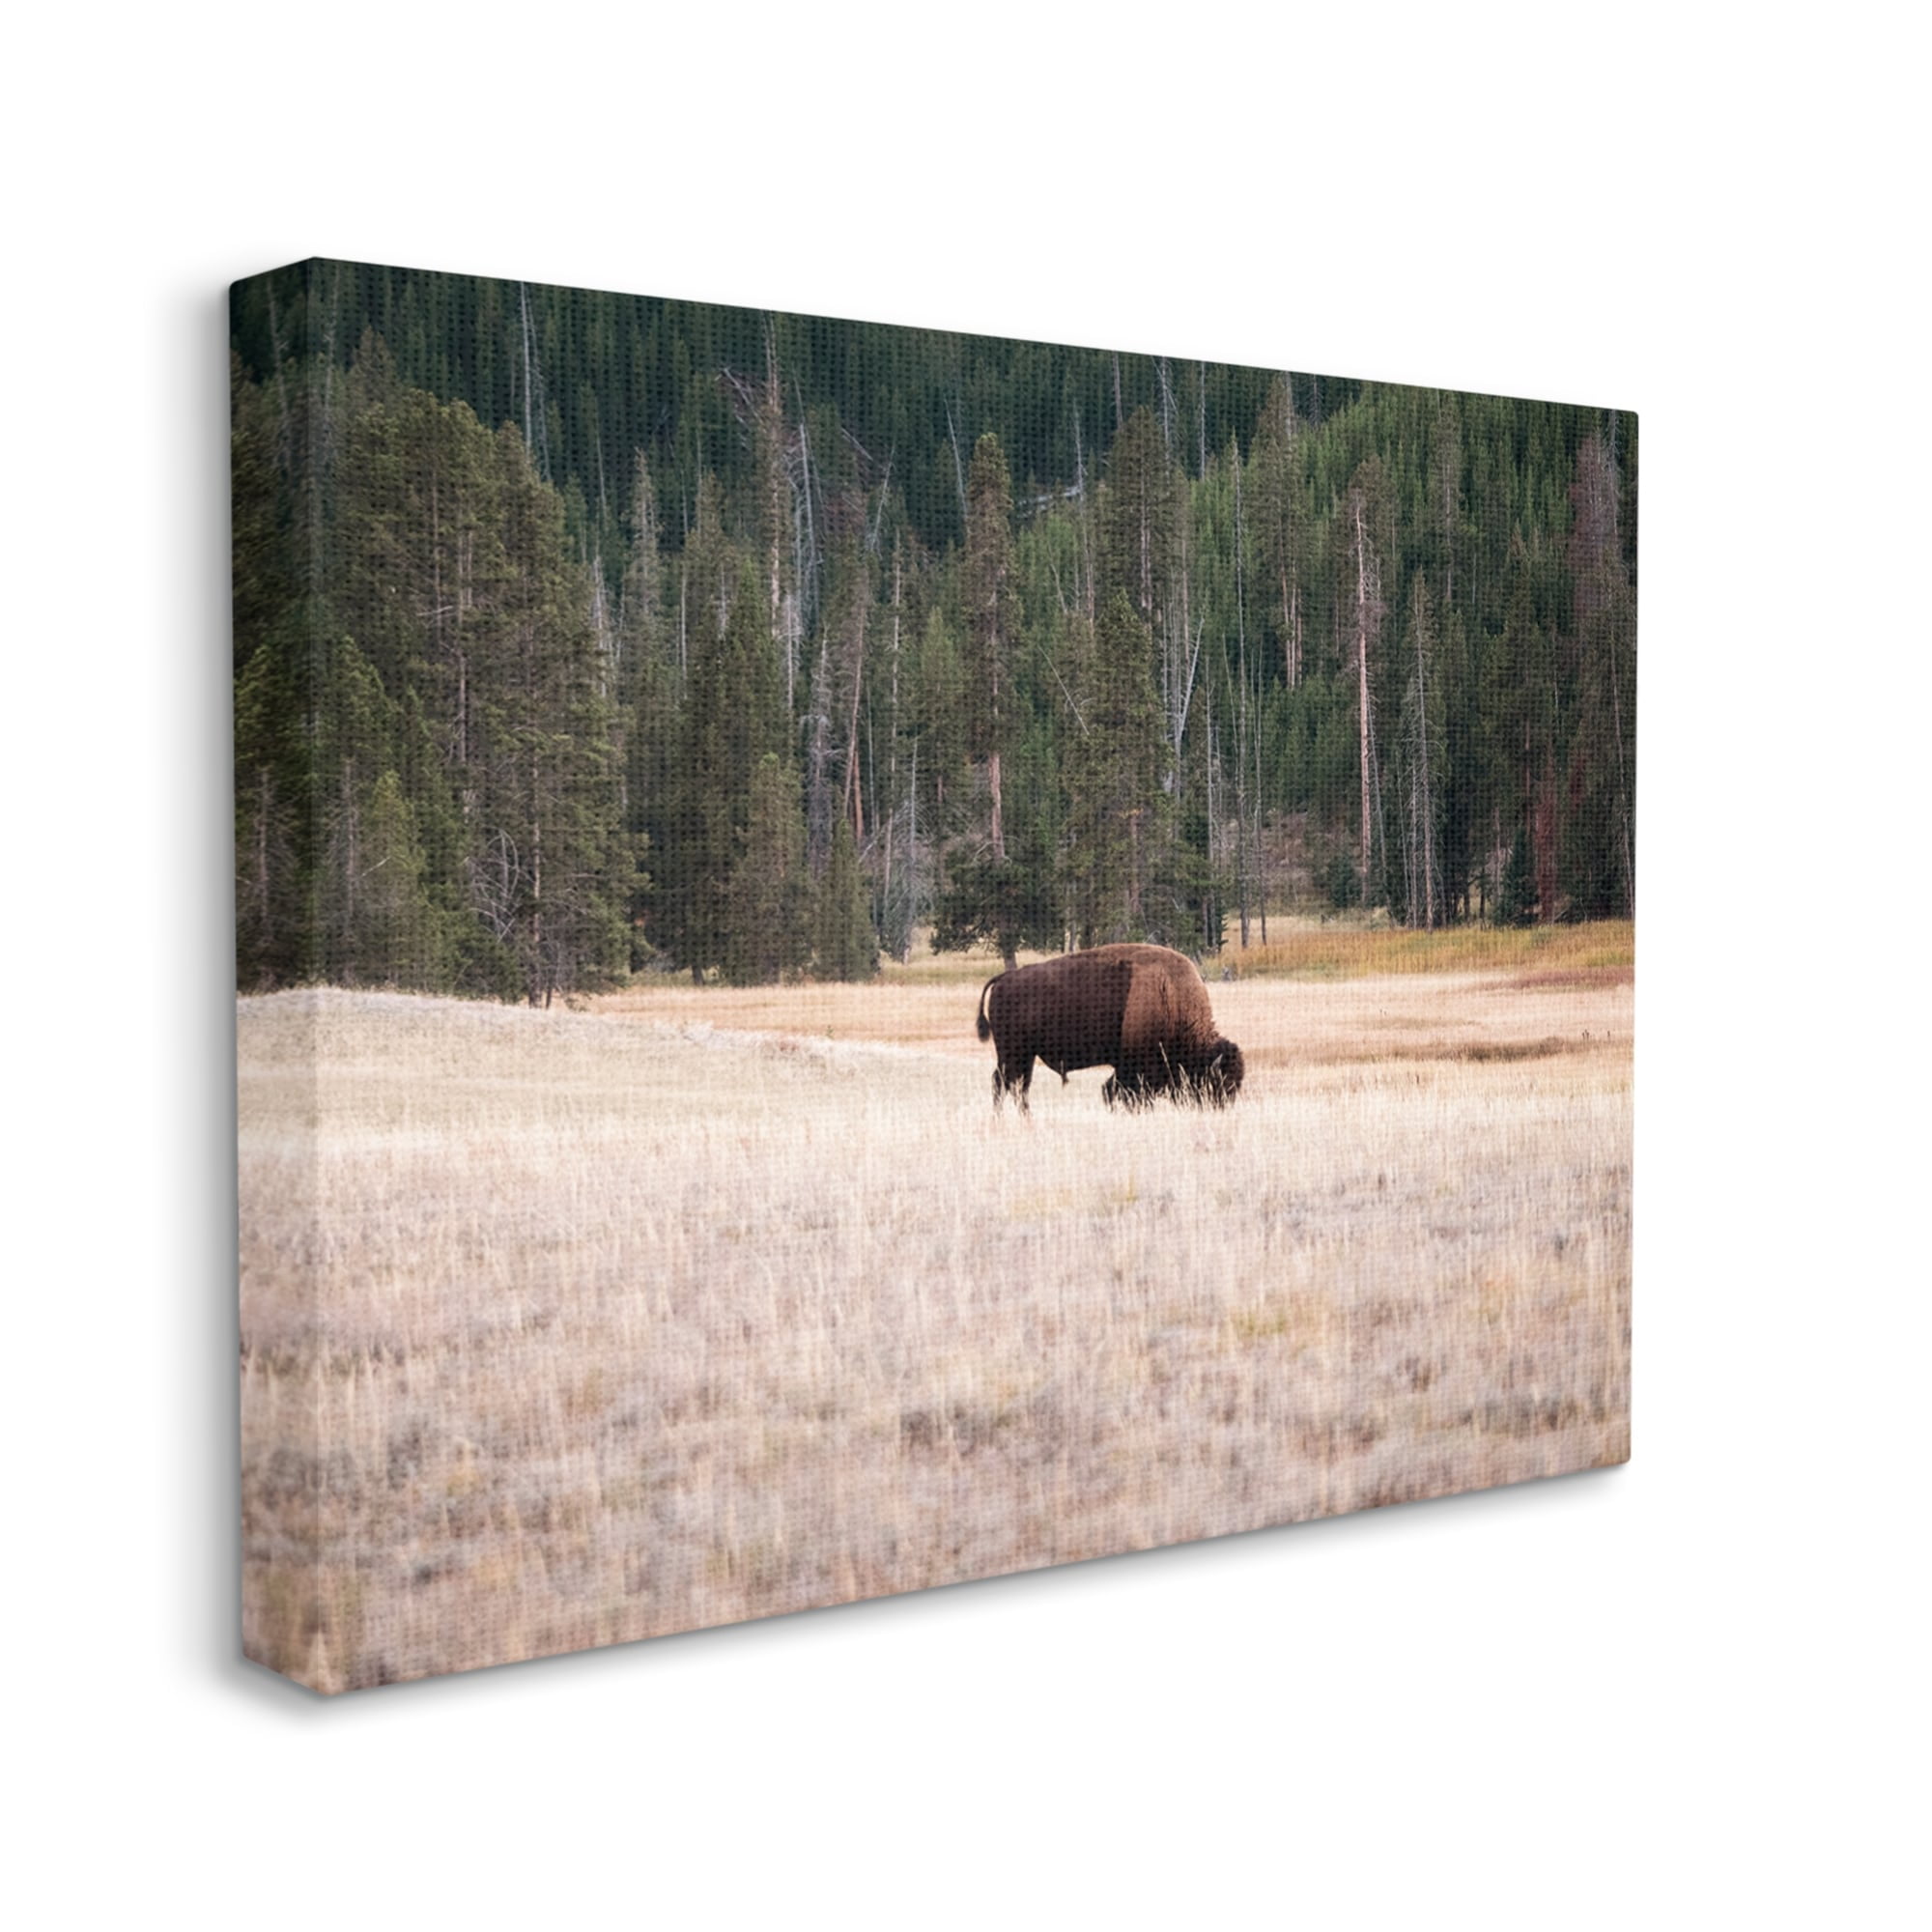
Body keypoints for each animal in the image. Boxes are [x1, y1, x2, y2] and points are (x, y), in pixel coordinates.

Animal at [974, 943, 1245, 1113]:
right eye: (1219, 1083)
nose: (1220, 1109)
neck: (1171, 995)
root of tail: (1003, 978)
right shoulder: (1136, 1069)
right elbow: (1124, 1094)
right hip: (1013, 1053)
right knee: (1003, 1084)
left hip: (1025, 1055)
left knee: (1018, 1086)